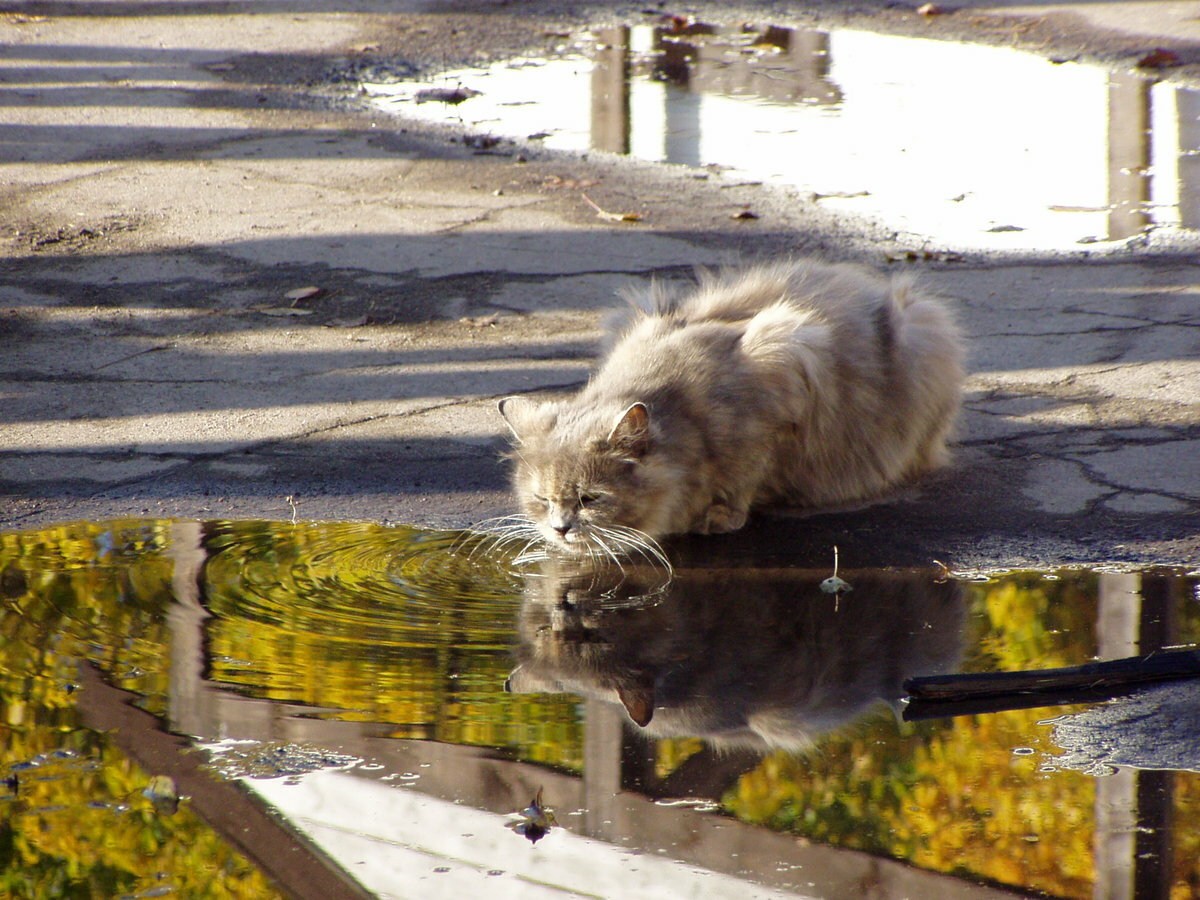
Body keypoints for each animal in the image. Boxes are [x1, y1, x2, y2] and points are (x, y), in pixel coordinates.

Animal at [496, 256, 964, 564]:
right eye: (540, 499)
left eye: (590, 498)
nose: (560, 528)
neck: (689, 420)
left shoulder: (784, 368)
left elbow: (747, 475)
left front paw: (719, 515)